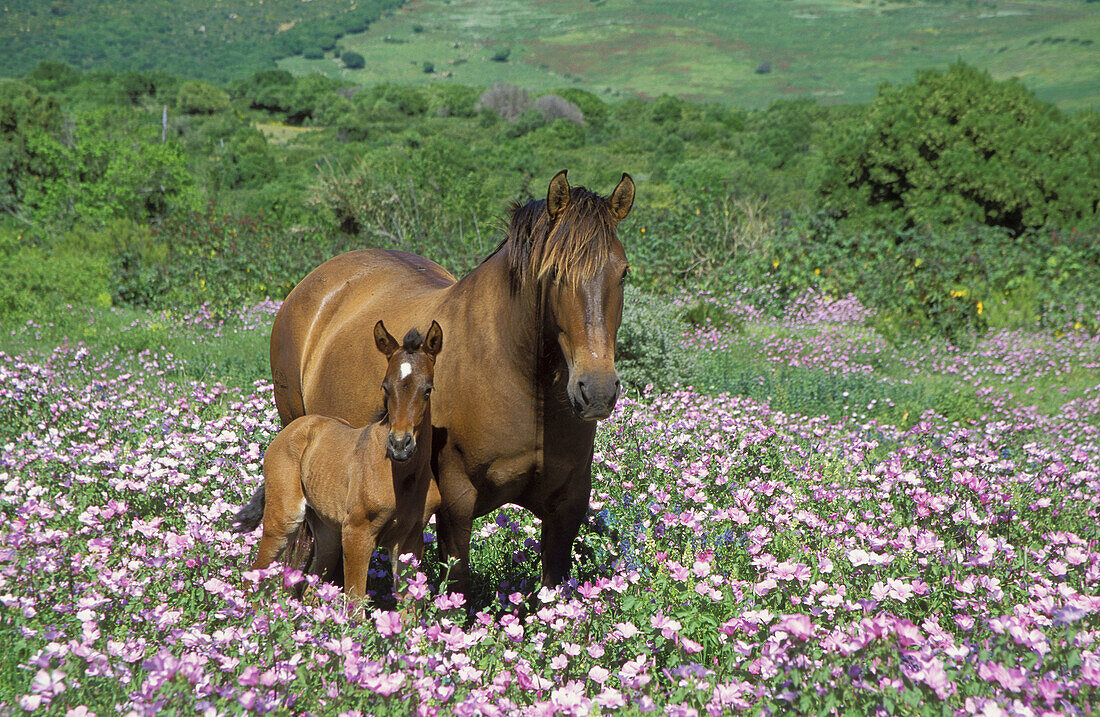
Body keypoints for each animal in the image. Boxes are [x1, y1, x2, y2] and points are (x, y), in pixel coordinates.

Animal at [249, 318, 442, 598]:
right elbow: (356, 601)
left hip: (327, 532)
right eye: (385, 387)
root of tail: (293, 428)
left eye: (427, 389)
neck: (403, 478)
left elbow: (410, 604)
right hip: (284, 520)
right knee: (255, 574)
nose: (399, 445)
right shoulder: (356, 534)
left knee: (312, 589)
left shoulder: (410, 540)